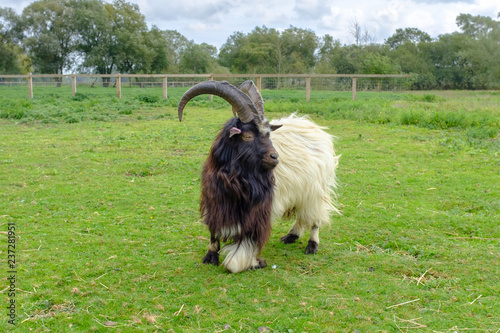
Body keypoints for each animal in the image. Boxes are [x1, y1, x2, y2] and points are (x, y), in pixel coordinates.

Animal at [177, 80, 340, 272]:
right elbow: (214, 232)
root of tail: (317, 129)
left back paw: (312, 245)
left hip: (316, 189)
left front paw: (254, 262)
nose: (275, 157)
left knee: (315, 216)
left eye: (268, 134)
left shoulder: (257, 213)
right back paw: (291, 236)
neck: (237, 180)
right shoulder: (217, 203)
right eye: (247, 136)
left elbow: (236, 260)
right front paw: (210, 255)